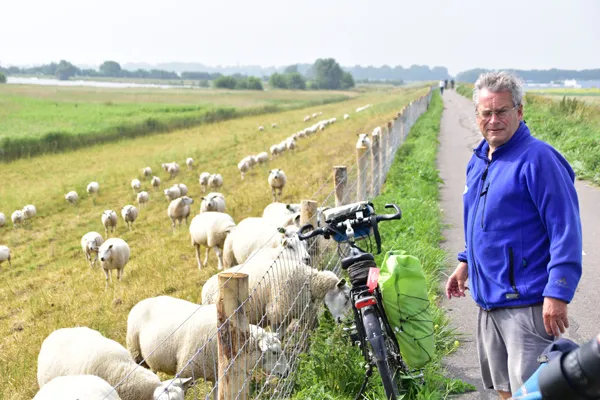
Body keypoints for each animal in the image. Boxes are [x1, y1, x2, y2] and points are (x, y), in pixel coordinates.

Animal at [125, 296, 288, 390]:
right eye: (274, 352)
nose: (287, 372)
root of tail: (141, 302)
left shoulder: (216, 376)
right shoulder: (185, 371)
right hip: (137, 355)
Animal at [202, 256, 352, 334]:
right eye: (346, 297)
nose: (346, 321)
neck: (310, 281)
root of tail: (205, 289)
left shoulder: (295, 311)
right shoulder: (277, 311)